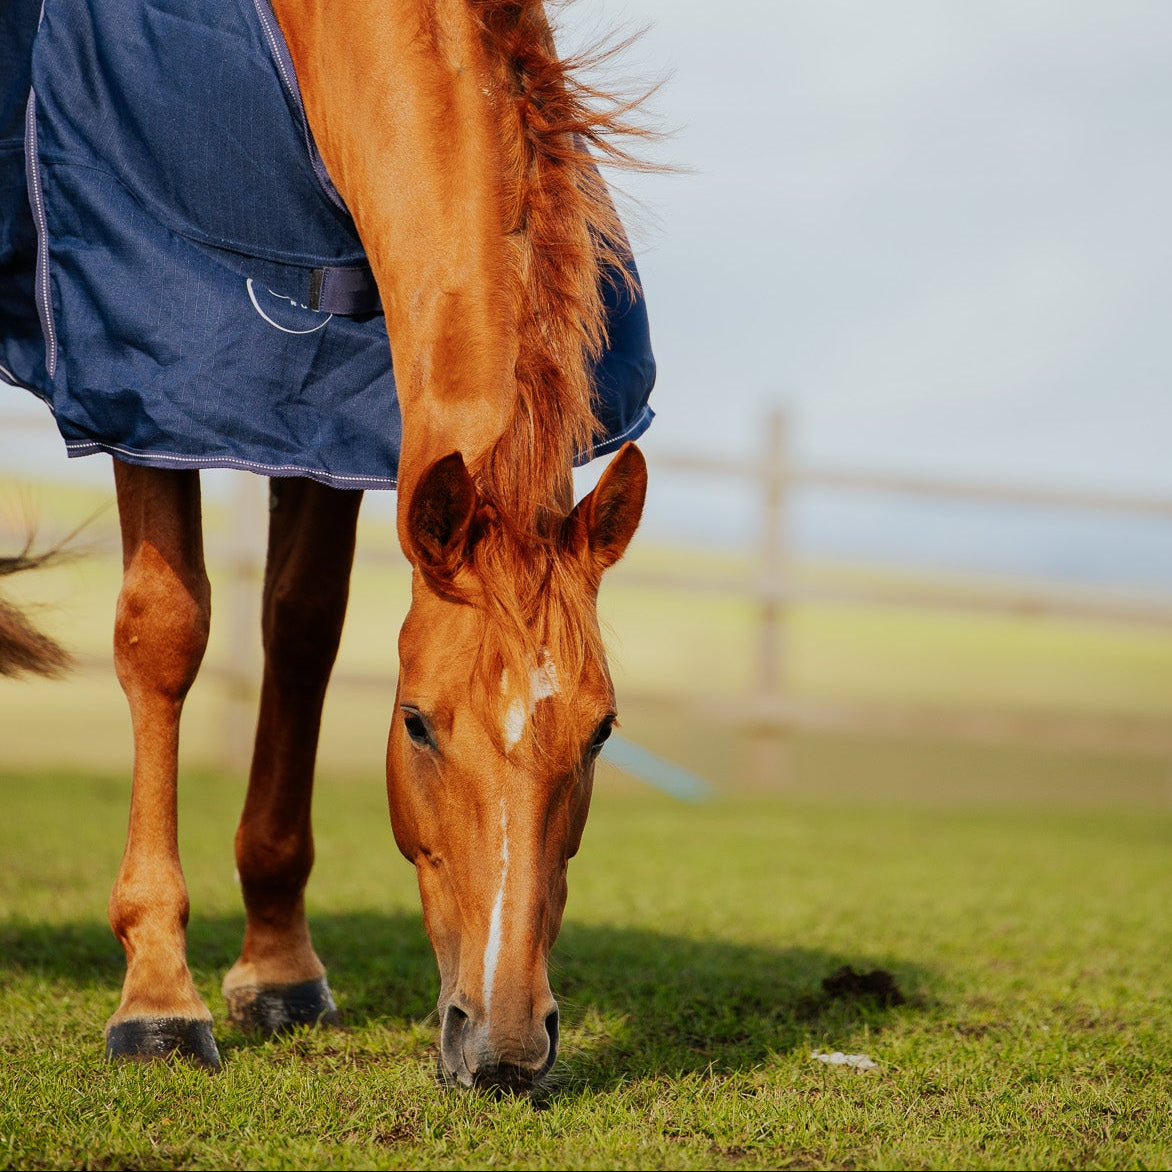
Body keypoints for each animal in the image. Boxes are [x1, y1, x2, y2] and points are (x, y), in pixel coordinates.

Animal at [1, 0, 656, 1091]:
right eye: (417, 725)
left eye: (603, 730)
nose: (506, 1046)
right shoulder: (150, 376)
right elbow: (166, 634)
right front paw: (158, 996)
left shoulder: (323, 409)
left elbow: (302, 632)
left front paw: (278, 970)